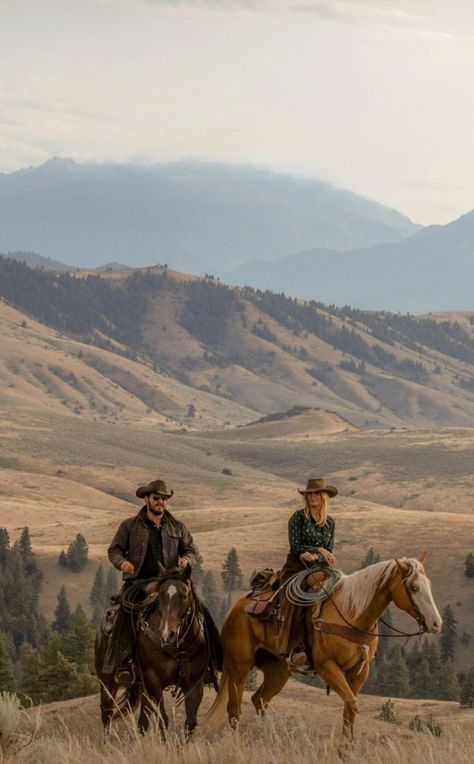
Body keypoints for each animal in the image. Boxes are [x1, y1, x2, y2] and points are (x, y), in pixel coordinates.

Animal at [95, 564, 218, 736]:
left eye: (185, 595)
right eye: (160, 596)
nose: (167, 633)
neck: (178, 647)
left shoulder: (194, 684)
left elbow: (190, 724)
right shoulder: (154, 681)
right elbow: (163, 719)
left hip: (142, 688)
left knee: (142, 722)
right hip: (108, 683)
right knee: (107, 716)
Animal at [206, 556, 442, 740]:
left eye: (429, 585)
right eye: (414, 587)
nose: (436, 623)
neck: (352, 613)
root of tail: (235, 608)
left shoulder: (359, 671)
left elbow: (349, 708)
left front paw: (346, 750)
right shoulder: (327, 665)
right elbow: (351, 703)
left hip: (278, 670)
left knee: (259, 699)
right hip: (240, 668)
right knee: (234, 708)